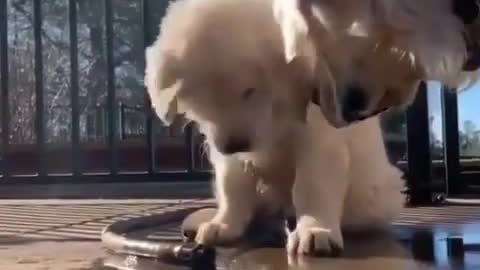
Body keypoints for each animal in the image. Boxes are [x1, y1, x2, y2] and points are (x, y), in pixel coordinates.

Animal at [145, 0, 404, 255]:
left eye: (249, 90)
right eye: (203, 97)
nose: (234, 145)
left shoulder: (317, 137)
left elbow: (312, 184)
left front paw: (315, 230)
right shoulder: (225, 150)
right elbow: (232, 185)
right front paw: (224, 224)